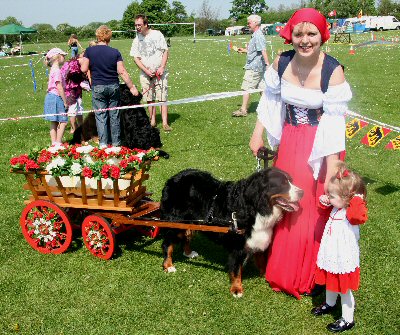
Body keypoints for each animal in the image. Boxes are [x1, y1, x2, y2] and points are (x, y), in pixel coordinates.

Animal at [159, 169, 304, 298]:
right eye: (283, 184)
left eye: (290, 181)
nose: (302, 192)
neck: (255, 208)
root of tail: (173, 178)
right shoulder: (237, 245)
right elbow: (236, 269)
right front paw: (236, 289)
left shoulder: (258, 238)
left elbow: (262, 261)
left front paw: (265, 276)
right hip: (175, 221)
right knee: (167, 243)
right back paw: (168, 265)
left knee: (187, 235)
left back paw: (188, 253)